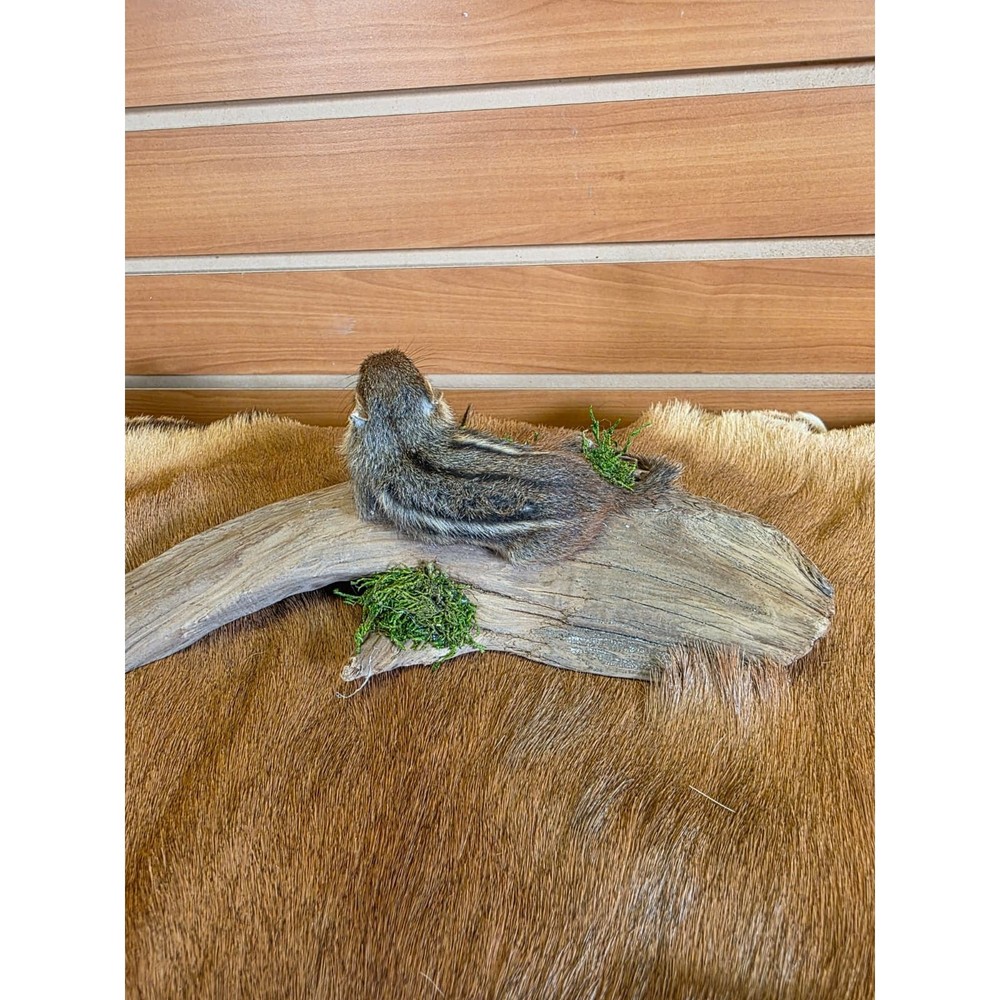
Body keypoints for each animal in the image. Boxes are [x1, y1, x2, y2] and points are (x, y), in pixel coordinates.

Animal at [342, 350, 679, 563]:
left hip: (532, 550)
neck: (403, 435)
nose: (382, 352)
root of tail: (603, 490)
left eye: (362, 380)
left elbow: (366, 512)